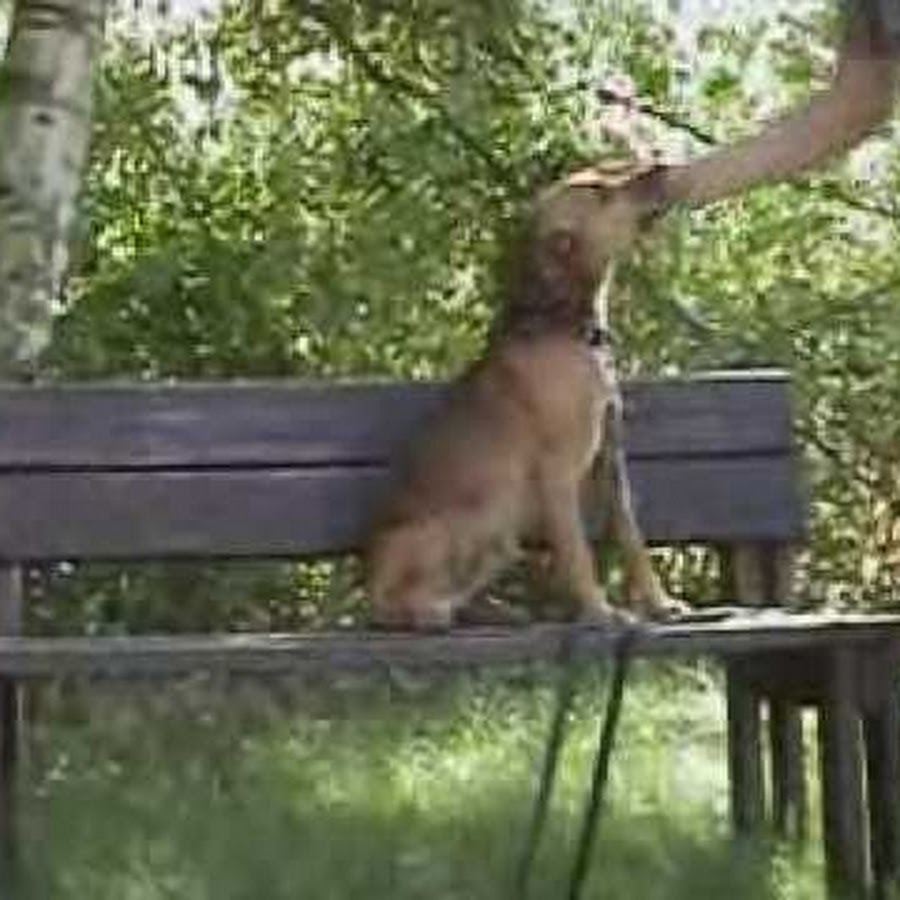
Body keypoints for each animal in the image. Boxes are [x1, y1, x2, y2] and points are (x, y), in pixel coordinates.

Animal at [364, 161, 686, 631]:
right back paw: (425, 611)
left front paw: (659, 603)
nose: (662, 165)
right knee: (393, 602)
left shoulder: (611, 463)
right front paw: (599, 611)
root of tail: (366, 577)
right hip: (465, 523)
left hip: (498, 537)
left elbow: (631, 537)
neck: (568, 327)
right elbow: (577, 553)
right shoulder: (559, 473)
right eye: (599, 191)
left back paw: (488, 611)